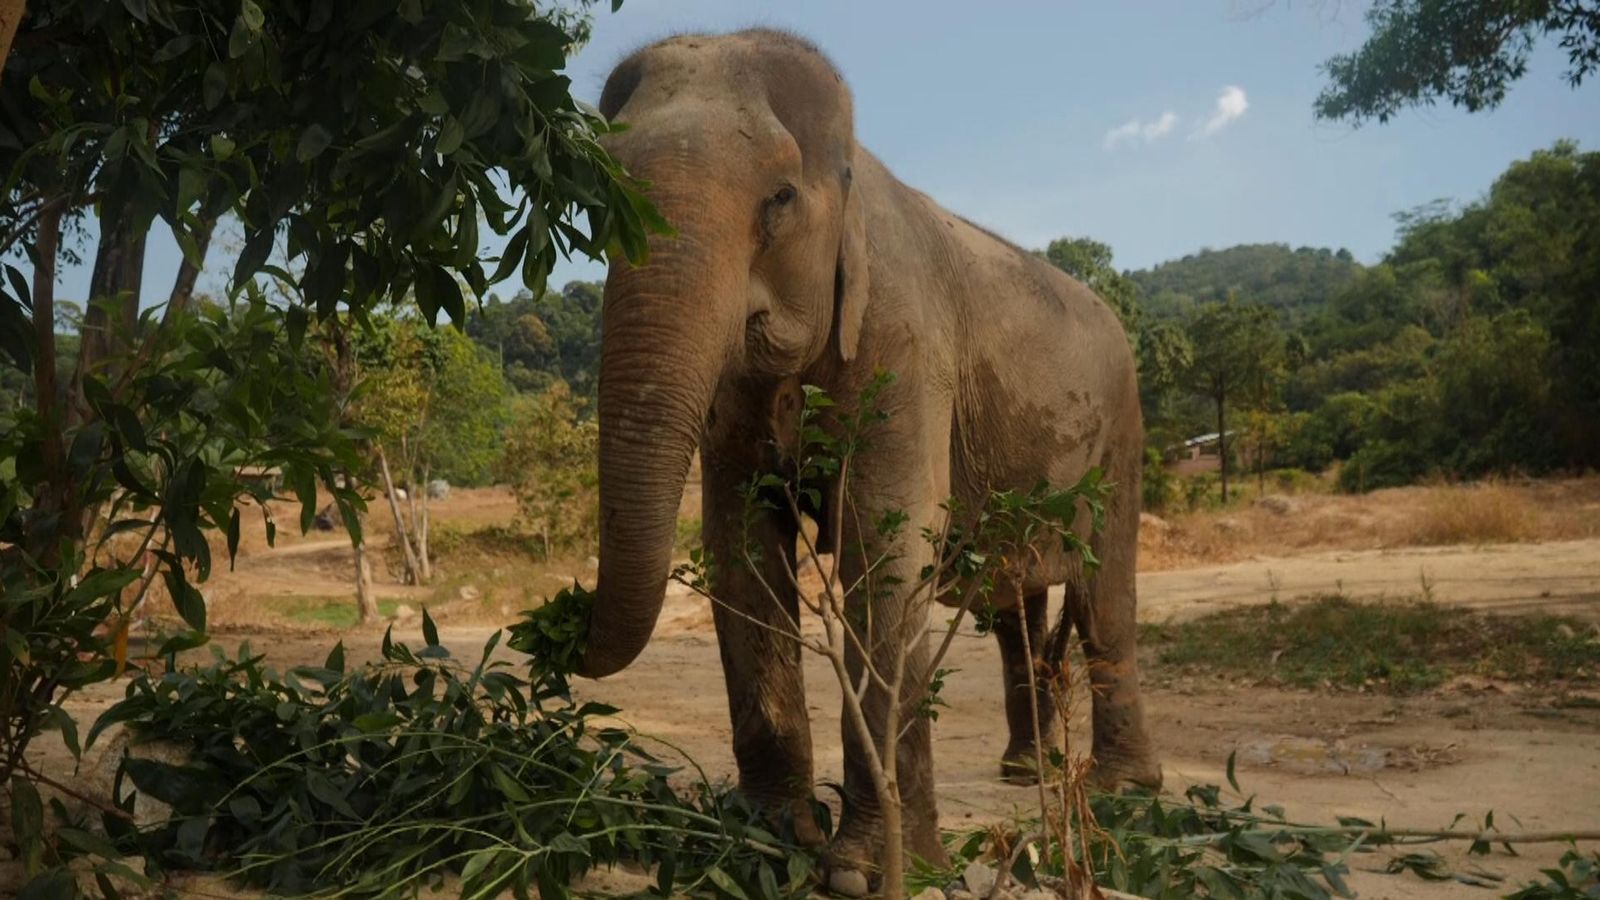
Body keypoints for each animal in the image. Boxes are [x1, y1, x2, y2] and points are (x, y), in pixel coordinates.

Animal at [574, 29, 1162, 878]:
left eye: (780, 198)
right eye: (596, 207)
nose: (562, 626)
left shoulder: (906, 336)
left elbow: (885, 535)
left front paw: (873, 873)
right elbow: (740, 547)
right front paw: (767, 839)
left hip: (1121, 430)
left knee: (1102, 593)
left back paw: (1123, 792)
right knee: (1019, 606)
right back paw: (1029, 774)